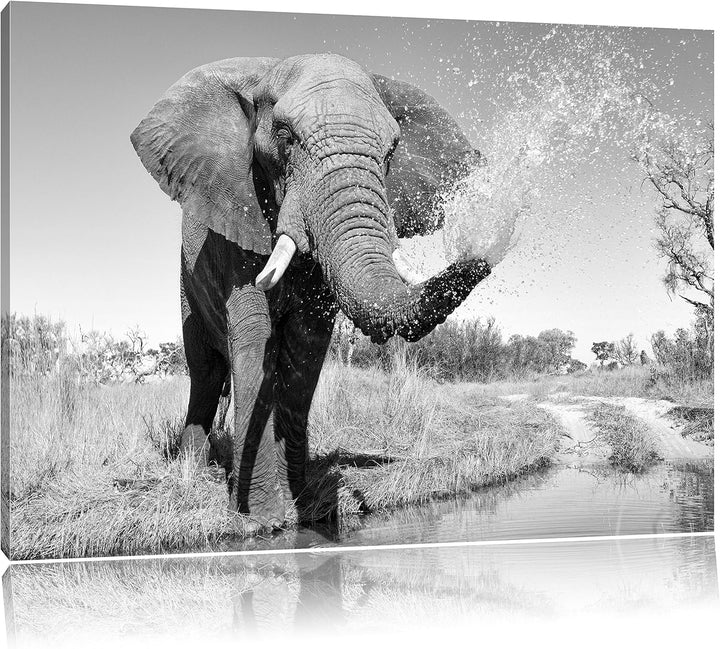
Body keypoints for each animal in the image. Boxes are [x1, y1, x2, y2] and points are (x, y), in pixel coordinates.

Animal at [131, 53, 492, 530]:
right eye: (285, 138)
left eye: (391, 151)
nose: (491, 241)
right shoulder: (236, 221)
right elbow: (255, 338)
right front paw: (262, 519)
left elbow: (306, 346)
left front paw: (302, 503)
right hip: (186, 284)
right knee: (205, 370)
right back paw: (192, 467)